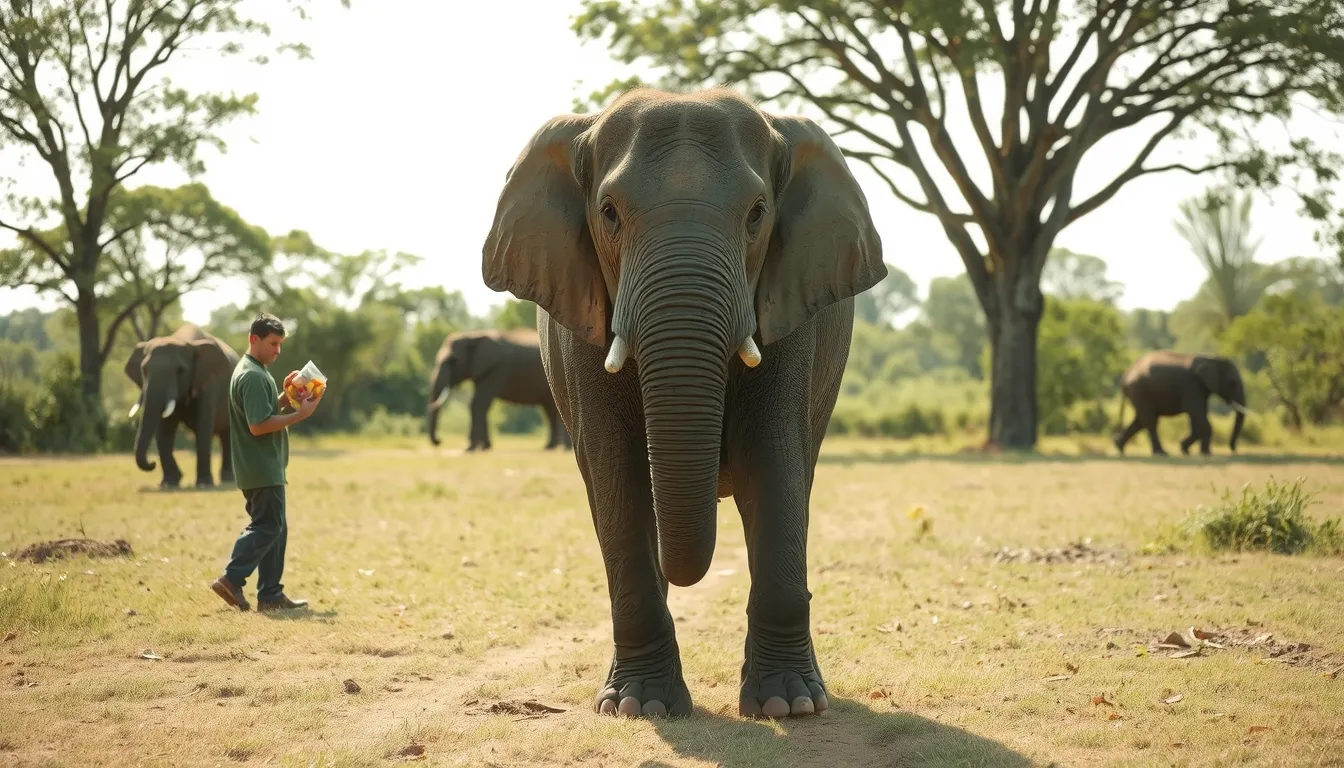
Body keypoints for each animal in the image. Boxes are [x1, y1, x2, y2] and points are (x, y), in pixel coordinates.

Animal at [124, 323, 239, 487]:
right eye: (144, 370)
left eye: (180, 371)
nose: (152, 464)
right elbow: (164, 430)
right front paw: (169, 483)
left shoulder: (209, 382)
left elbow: (203, 426)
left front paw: (204, 484)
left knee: (227, 434)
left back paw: (228, 479)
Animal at [426, 328, 571, 451]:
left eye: (453, 361)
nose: (439, 441)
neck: (474, 335)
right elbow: (481, 404)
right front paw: (485, 447)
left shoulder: (496, 369)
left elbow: (478, 403)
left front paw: (470, 448)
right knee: (550, 411)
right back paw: (549, 447)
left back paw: (565, 449)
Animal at [480, 87, 886, 720]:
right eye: (609, 213)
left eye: (757, 213)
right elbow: (617, 479)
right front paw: (639, 707)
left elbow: (773, 462)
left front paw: (788, 706)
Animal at [1113, 350, 1249, 456]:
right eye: (1232, 383)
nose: (1234, 450)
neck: (1212, 359)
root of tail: (1126, 374)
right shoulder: (1191, 386)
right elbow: (1196, 413)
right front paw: (1205, 453)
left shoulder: (1200, 389)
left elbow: (1199, 417)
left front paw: (1186, 449)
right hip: (1139, 390)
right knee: (1150, 421)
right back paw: (1161, 453)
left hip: (1138, 393)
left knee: (1140, 421)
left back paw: (1119, 447)